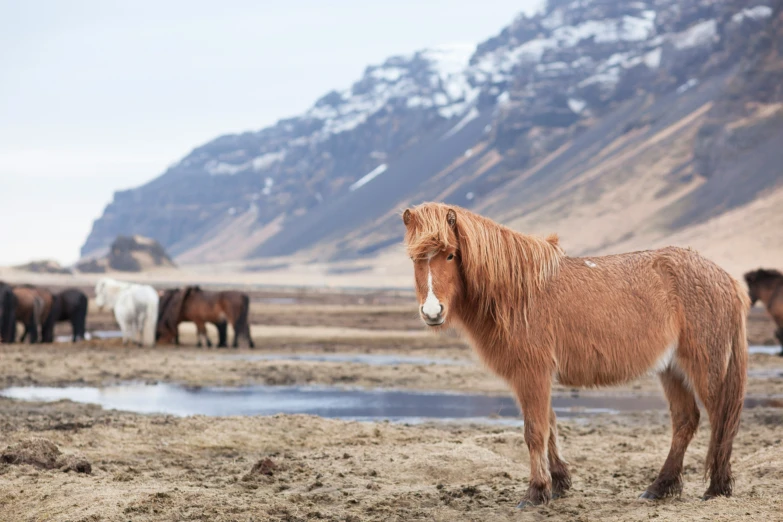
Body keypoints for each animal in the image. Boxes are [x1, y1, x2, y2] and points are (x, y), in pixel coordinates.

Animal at [402, 202, 752, 504]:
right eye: (414, 258)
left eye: (450, 255)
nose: (432, 312)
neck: (517, 293)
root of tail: (727, 279)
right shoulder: (535, 376)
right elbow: (550, 425)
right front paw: (559, 483)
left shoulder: (533, 373)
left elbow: (535, 431)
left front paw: (536, 492)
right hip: (671, 369)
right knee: (685, 421)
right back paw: (659, 487)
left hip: (705, 368)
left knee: (720, 418)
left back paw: (716, 488)